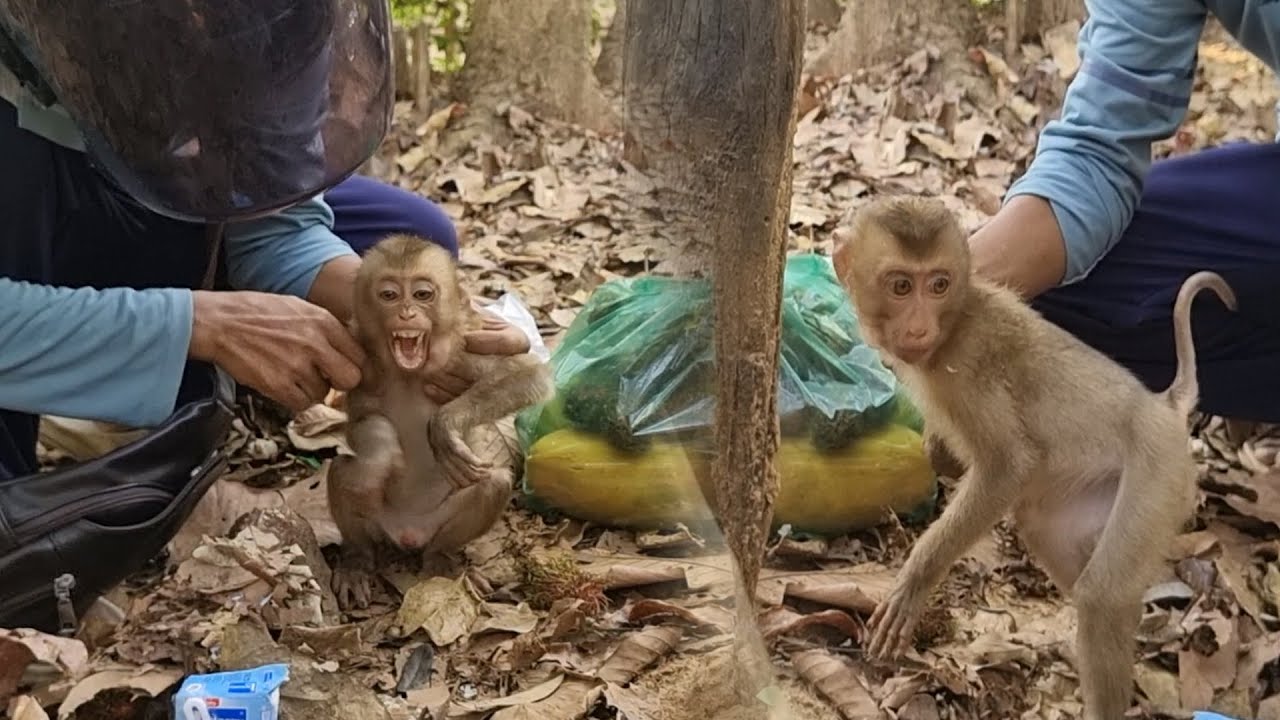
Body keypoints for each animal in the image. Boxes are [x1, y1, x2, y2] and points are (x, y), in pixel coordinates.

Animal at [326, 233, 555, 609]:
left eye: (422, 294)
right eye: (389, 295)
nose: (406, 313)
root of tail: (408, 533)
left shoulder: (466, 346)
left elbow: (527, 376)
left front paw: (444, 426)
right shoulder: (355, 350)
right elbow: (361, 419)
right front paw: (382, 449)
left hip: (436, 523)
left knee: (493, 484)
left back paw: (441, 559)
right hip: (379, 521)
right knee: (344, 472)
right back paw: (357, 560)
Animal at [829, 195, 1236, 720]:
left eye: (938, 284)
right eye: (902, 286)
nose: (919, 325)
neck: (955, 321)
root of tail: (1164, 406)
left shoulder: (969, 363)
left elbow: (1009, 467)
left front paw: (915, 582)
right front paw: (939, 453)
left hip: (1160, 475)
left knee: (1102, 597)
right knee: (1047, 532)